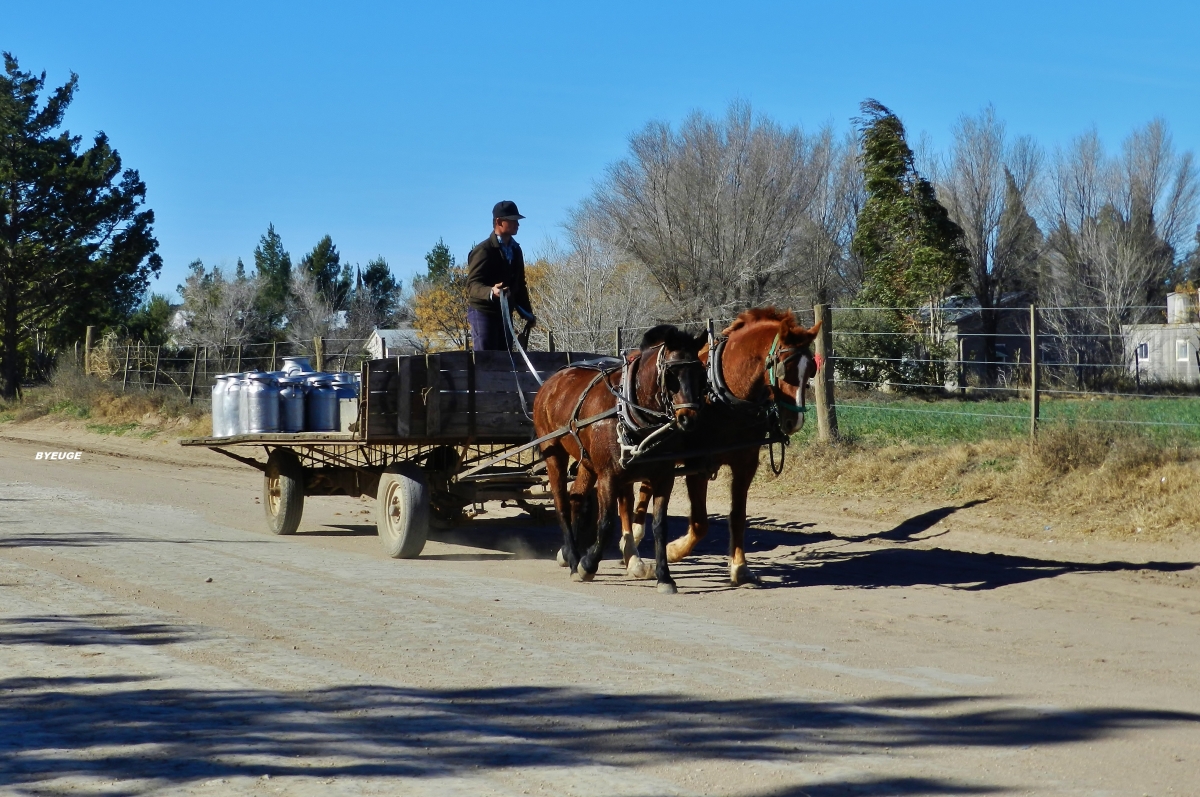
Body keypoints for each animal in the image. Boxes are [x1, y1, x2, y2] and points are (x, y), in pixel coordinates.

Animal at [530, 324, 705, 590]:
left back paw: (571, 553)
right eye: (671, 374)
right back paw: (574, 558)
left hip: (587, 463)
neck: (628, 410)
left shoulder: (664, 476)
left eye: (701, 373)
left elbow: (659, 526)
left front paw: (664, 576)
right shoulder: (609, 476)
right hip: (553, 452)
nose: (688, 419)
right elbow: (606, 523)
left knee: (576, 498)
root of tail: (550, 382)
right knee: (561, 504)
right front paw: (588, 565)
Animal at [619, 307, 825, 588]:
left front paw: (740, 567)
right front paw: (673, 550)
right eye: (784, 368)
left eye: (811, 370)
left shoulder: (746, 462)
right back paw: (631, 546)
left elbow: (737, 515)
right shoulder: (697, 464)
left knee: (645, 487)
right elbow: (700, 523)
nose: (795, 421)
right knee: (626, 494)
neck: (724, 394)